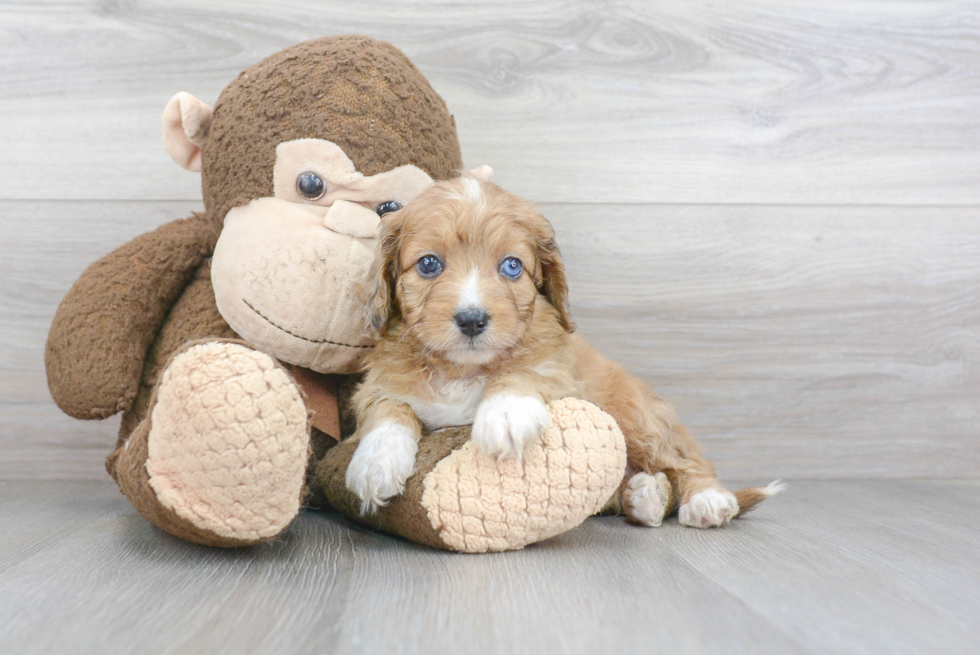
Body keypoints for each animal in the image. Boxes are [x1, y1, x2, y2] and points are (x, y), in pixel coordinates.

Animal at [344, 178, 780, 528]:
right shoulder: (377, 385)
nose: (471, 320)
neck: (461, 369)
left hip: (637, 416)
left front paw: (505, 413)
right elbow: (388, 409)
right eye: (429, 264)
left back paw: (706, 499)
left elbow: (524, 369)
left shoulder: (563, 370)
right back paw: (645, 497)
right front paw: (375, 462)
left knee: (685, 461)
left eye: (512, 266)